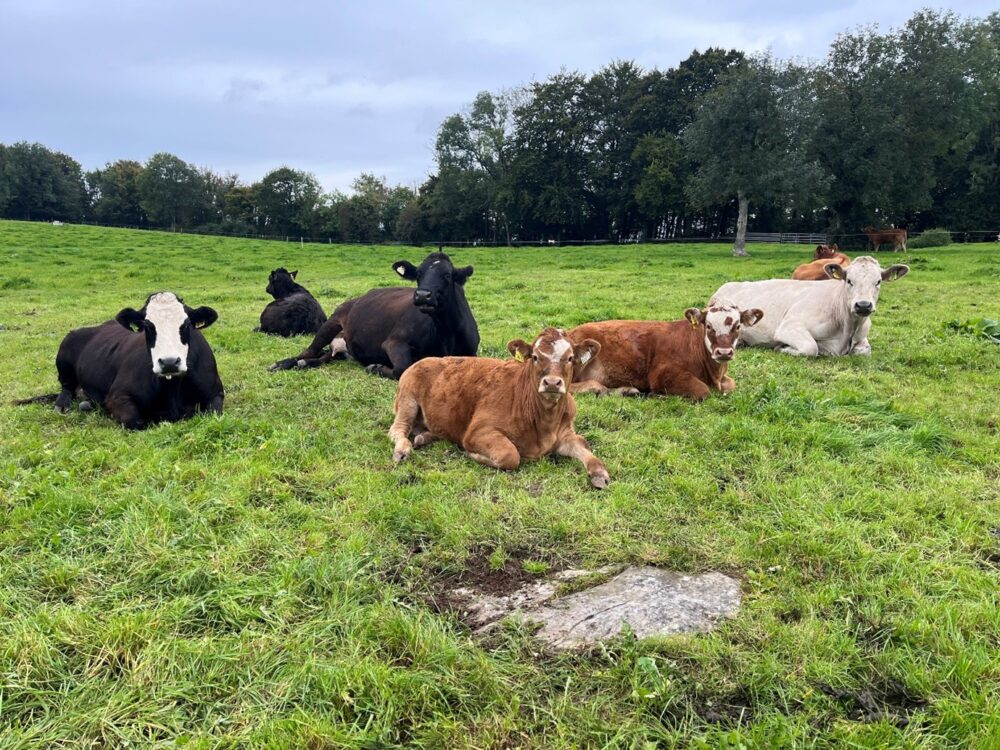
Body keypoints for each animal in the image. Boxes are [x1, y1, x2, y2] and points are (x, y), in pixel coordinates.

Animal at [14, 292, 224, 429]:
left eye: (186, 324)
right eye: (148, 326)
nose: (170, 362)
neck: (172, 389)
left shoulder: (215, 393)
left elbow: (212, 411)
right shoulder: (118, 396)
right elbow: (135, 421)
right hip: (65, 352)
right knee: (66, 387)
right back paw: (63, 404)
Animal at [270, 250, 479, 379]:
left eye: (447, 275)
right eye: (418, 274)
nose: (422, 295)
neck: (445, 334)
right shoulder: (394, 341)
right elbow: (402, 368)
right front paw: (375, 367)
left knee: (321, 357)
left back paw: (305, 364)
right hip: (331, 323)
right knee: (308, 351)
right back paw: (283, 364)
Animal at [388, 327, 609, 488]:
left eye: (570, 358)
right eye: (535, 357)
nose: (552, 383)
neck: (543, 423)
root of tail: (426, 359)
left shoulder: (565, 433)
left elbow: (585, 448)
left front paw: (600, 474)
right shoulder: (476, 432)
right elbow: (510, 455)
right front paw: (472, 454)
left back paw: (424, 437)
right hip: (407, 399)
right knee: (397, 430)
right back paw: (403, 449)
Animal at [566, 303, 764, 401]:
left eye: (737, 326)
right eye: (708, 326)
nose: (723, 352)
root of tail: (570, 331)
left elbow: (731, 385)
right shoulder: (662, 373)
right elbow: (703, 391)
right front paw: (658, 395)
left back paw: (626, 390)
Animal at [711, 256, 909, 356]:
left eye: (878, 281)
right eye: (849, 280)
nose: (863, 305)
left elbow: (864, 351)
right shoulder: (789, 327)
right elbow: (811, 348)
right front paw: (782, 348)